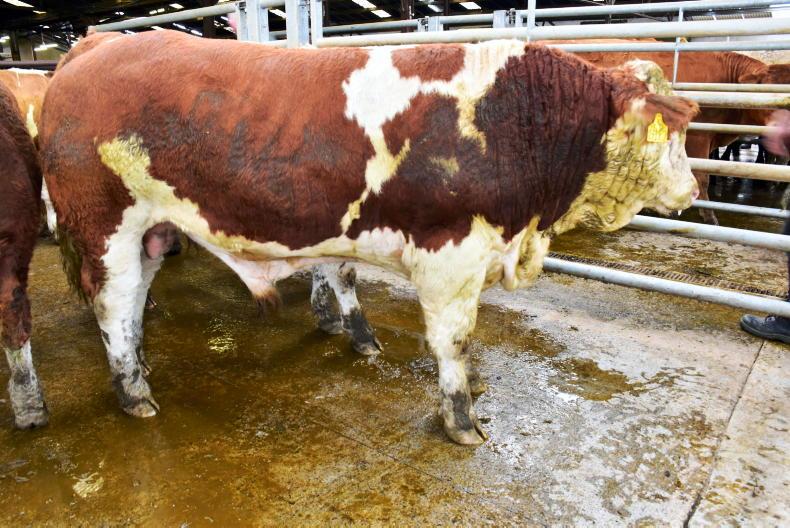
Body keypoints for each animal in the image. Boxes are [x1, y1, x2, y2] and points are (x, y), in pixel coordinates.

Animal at [39, 30, 698, 444]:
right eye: (668, 136)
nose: (693, 191)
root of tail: (94, 46)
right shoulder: (450, 255)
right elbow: (454, 342)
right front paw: (461, 421)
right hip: (105, 225)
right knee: (114, 303)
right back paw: (135, 395)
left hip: (152, 231)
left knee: (131, 306)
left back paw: (139, 366)